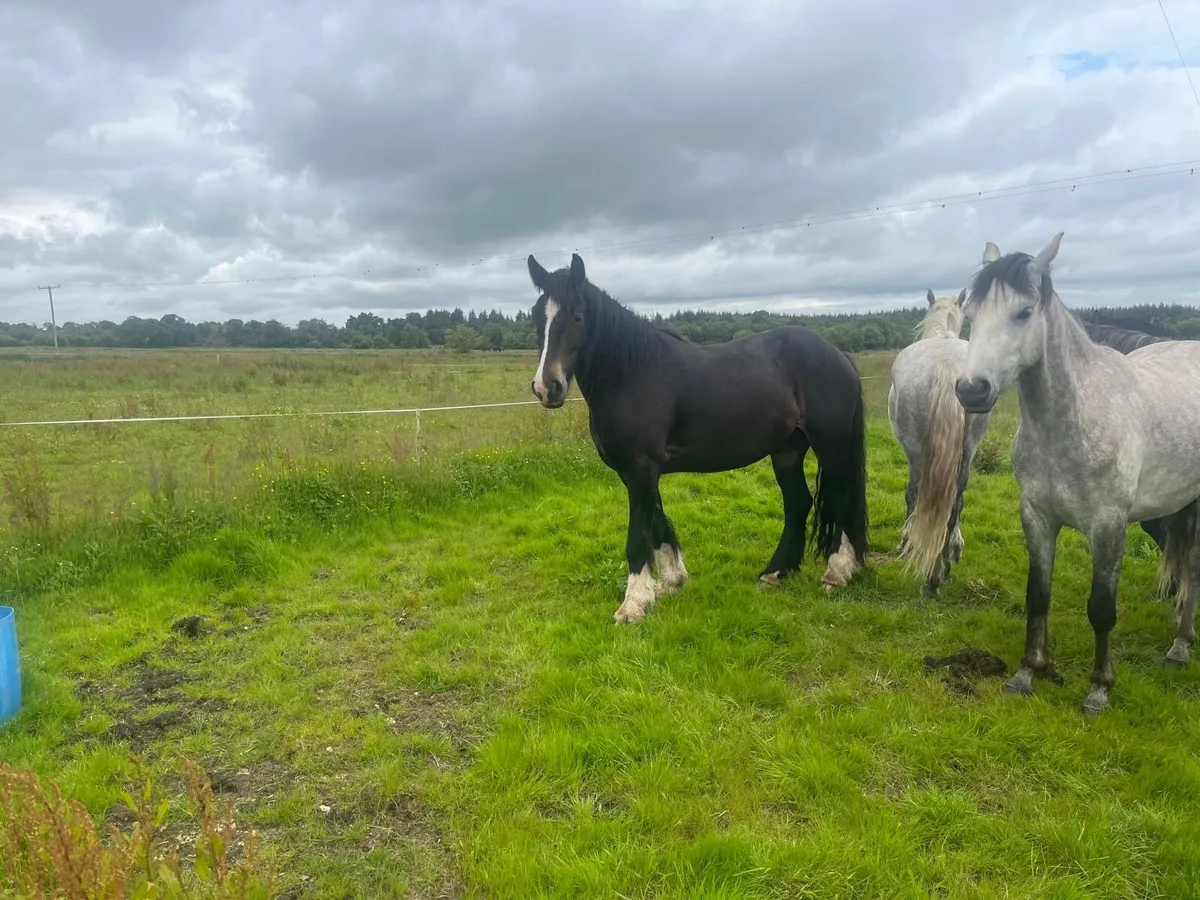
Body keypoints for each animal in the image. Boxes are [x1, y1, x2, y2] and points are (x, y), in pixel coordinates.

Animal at [525, 252, 870, 624]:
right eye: (537, 315)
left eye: (578, 316)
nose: (547, 388)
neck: (632, 374)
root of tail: (837, 353)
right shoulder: (636, 472)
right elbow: (658, 525)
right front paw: (670, 583)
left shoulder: (641, 468)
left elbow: (638, 536)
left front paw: (633, 605)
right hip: (787, 450)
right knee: (798, 503)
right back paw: (775, 573)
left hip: (831, 447)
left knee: (840, 500)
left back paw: (836, 573)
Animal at [888, 288, 992, 595]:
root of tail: (947, 367)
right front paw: (955, 550)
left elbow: (912, 496)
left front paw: (906, 541)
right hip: (969, 448)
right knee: (955, 501)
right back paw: (940, 571)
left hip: (915, 450)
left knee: (918, 494)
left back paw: (931, 573)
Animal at [954, 232, 1200, 714]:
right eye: (970, 317)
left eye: (1024, 312)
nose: (972, 390)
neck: (1072, 419)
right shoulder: (1037, 517)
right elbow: (1038, 595)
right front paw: (1029, 672)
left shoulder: (1108, 526)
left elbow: (1101, 608)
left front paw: (1099, 689)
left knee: (1194, 568)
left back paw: (1180, 646)